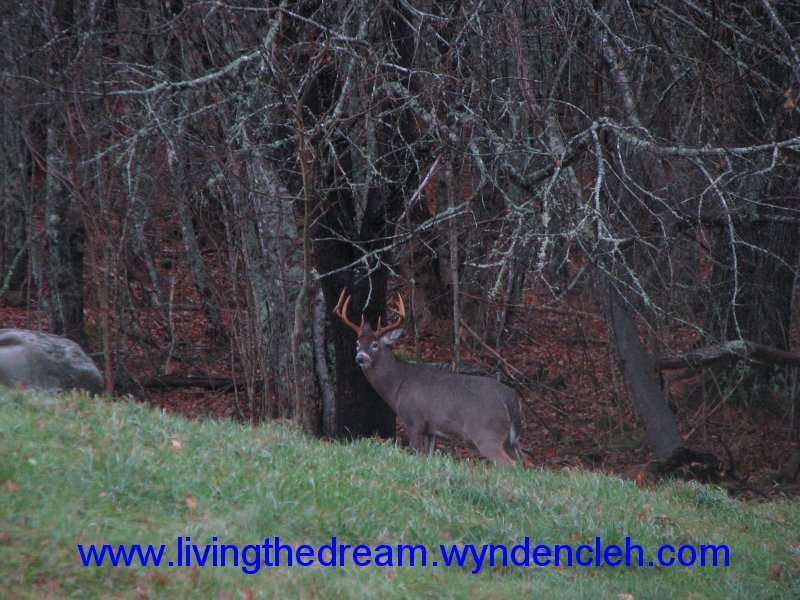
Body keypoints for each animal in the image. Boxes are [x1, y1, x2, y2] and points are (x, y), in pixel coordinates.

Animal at [332, 288, 524, 466]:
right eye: (357, 343)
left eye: (374, 345)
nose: (360, 358)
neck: (397, 385)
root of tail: (511, 401)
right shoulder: (432, 429)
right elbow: (429, 455)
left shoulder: (414, 419)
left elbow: (417, 453)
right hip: (511, 440)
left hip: (486, 432)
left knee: (510, 465)